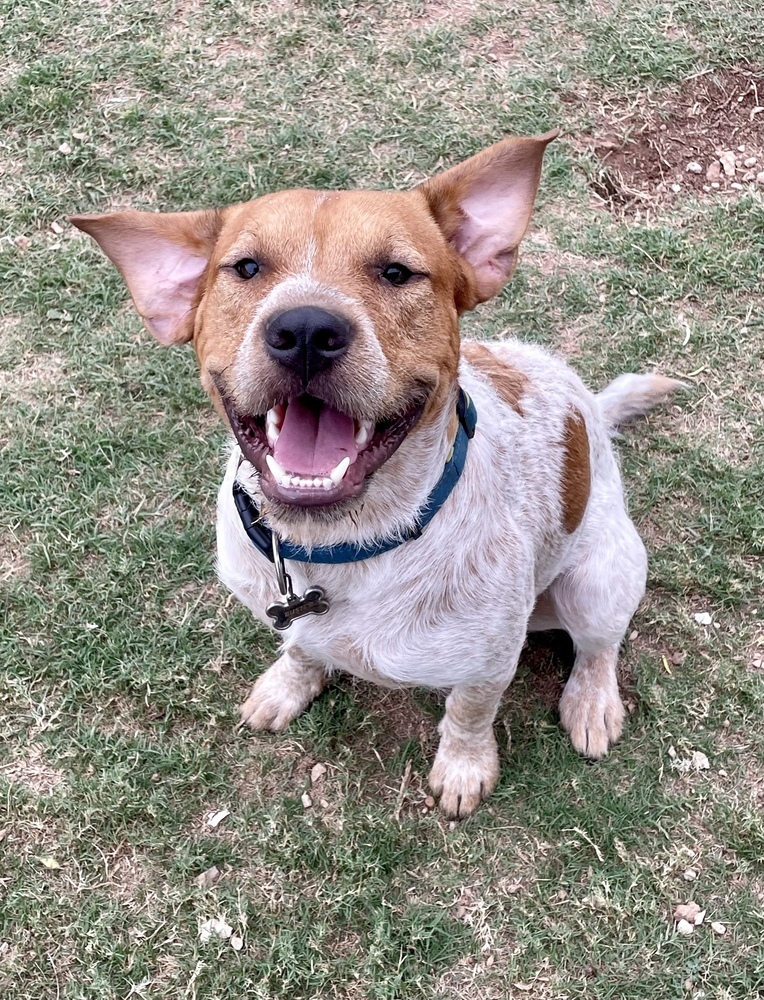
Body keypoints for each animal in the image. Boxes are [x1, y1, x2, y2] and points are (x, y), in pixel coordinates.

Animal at [71, 131, 680, 820]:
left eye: (395, 272)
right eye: (246, 268)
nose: (306, 329)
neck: (338, 545)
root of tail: (592, 413)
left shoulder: (489, 662)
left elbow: (469, 714)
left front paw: (465, 767)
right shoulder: (288, 612)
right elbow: (299, 647)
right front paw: (288, 684)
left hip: (598, 578)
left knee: (600, 647)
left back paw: (592, 702)